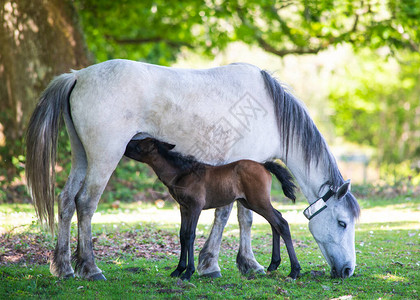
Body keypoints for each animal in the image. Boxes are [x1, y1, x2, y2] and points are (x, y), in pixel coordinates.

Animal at [123, 137, 300, 280]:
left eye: (138, 146)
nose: (125, 146)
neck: (183, 174)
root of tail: (264, 165)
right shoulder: (184, 208)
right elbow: (182, 235)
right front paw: (178, 270)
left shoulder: (195, 207)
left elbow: (190, 235)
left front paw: (188, 272)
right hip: (251, 202)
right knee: (275, 221)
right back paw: (273, 265)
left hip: (258, 201)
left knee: (281, 223)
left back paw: (294, 271)